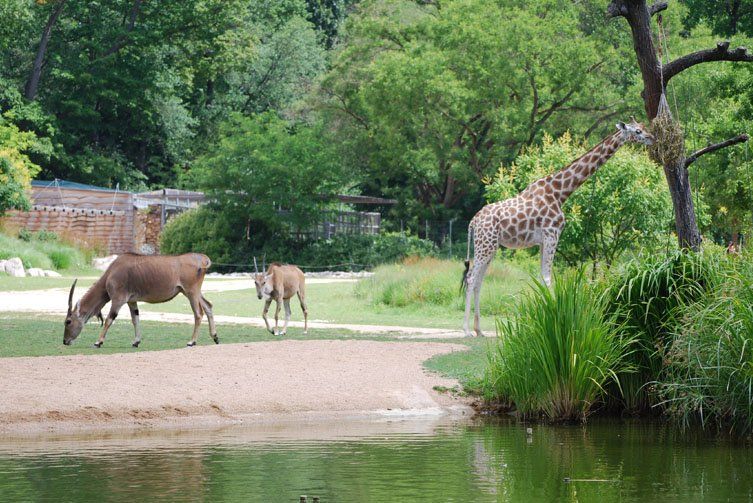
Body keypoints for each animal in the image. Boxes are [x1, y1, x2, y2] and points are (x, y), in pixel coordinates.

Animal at [63, 254, 219, 348]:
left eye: (68, 321)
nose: (65, 341)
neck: (111, 272)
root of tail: (202, 259)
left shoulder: (118, 300)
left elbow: (109, 319)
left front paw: (98, 342)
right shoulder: (132, 301)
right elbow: (135, 319)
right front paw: (136, 341)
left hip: (191, 292)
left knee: (198, 313)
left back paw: (192, 341)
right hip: (192, 292)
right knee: (208, 306)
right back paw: (215, 337)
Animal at [458, 120, 652, 336]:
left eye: (643, 127)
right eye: (637, 131)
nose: (652, 138)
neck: (561, 192)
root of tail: (473, 221)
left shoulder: (544, 240)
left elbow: (543, 278)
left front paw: (542, 322)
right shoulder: (552, 234)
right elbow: (548, 278)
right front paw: (554, 322)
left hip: (489, 246)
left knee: (478, 281)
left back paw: (479, 330)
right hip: (485, 245)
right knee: (471, 279)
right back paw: (466, 330)